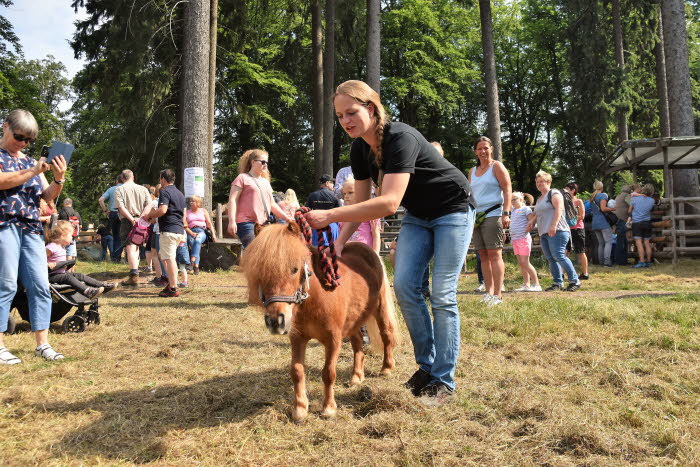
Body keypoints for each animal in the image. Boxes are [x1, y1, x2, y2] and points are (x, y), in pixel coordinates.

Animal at [243, 223, 400, 424]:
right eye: (260, 271)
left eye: (294, 269)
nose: (276, 321)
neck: (316, 298)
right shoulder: (298, 338)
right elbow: (297, 371)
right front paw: (300, 409)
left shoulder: (333, 340)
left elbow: (328, 373)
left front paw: (328, 408)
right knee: (357, 344)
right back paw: (356, 377)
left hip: (379, 309)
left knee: (386, 334)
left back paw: (386, 368)